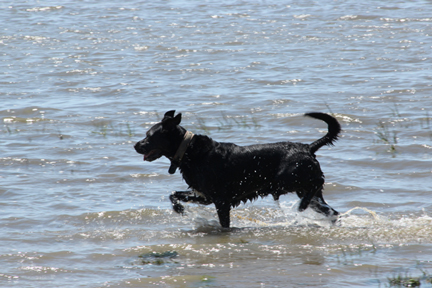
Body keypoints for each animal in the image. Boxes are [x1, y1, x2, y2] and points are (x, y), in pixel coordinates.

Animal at [134, 110, 340, 227]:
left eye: (148, 136)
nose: (135, 145)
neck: (189, 152)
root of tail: (308, 147)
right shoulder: (204, 196)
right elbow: (173, 194)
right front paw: (180, 210)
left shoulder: (221, 201)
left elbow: (224, 224)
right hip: (305, 190)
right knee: (331, 210)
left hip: (287, 180)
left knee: (318, 182)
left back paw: (302, 205)